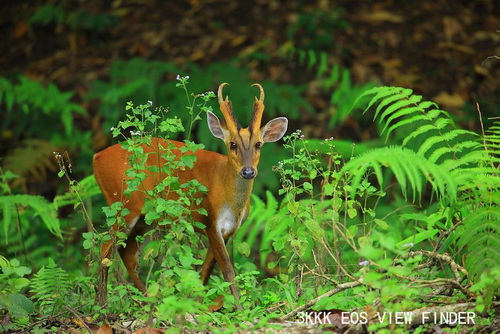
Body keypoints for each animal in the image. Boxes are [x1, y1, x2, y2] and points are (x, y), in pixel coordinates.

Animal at [93, 83, 290, 308]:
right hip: (122, 204)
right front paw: (239, 308)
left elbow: (205, 270)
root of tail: (96, 157)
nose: (248, 171)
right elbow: (227, 269)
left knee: (126, 253)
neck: (230, 198)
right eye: (232, 144)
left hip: (143, 217)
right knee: (105, 250)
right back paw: (102, 301)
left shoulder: (229, 229)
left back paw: (147, 298)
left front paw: (198, 304)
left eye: (258, 144)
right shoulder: (210, 219)